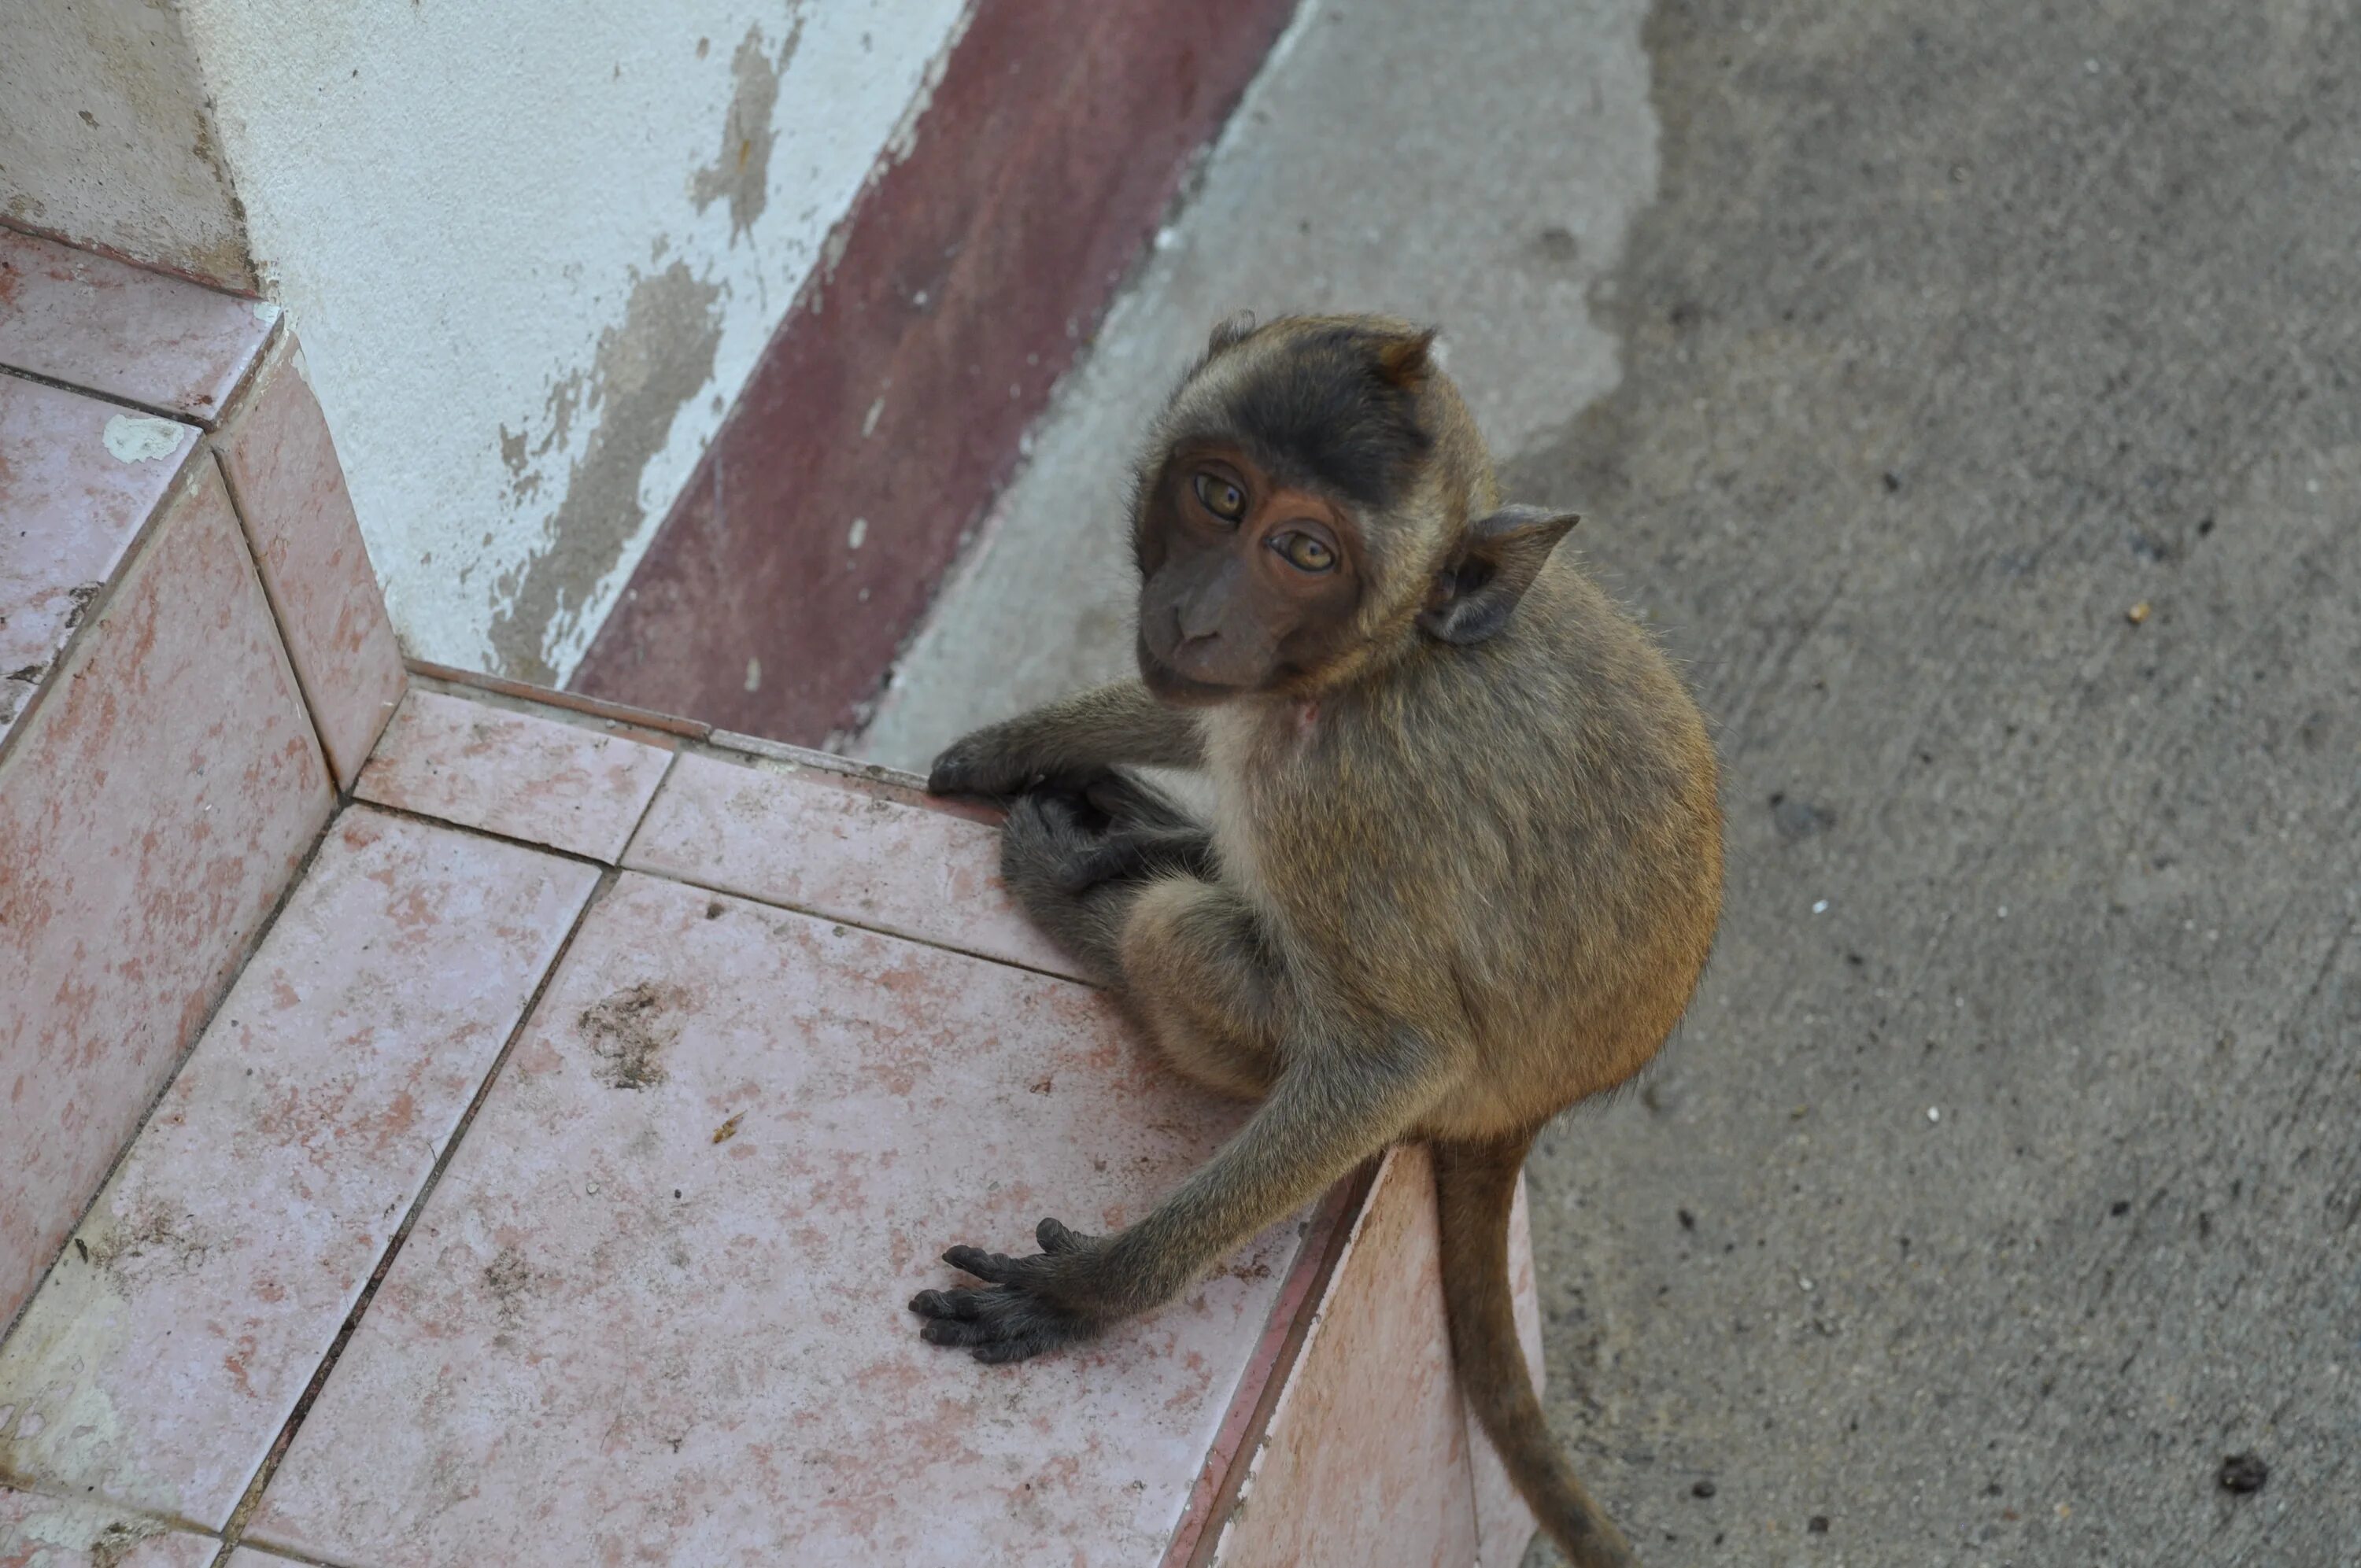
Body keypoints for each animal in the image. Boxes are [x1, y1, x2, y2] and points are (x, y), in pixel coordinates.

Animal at [907, 309, 1719, 1568]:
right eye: (1219, 495)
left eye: (1306, 553)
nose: (1196, 612)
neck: (1378, 665)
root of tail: (1531, 1112)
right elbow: (1195, 712)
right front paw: (1019, 742)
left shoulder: (1347, 805)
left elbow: (1392, 1058)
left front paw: (1091, 1291)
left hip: (1420, 1074)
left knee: (1184, 943)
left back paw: (1097, 902)